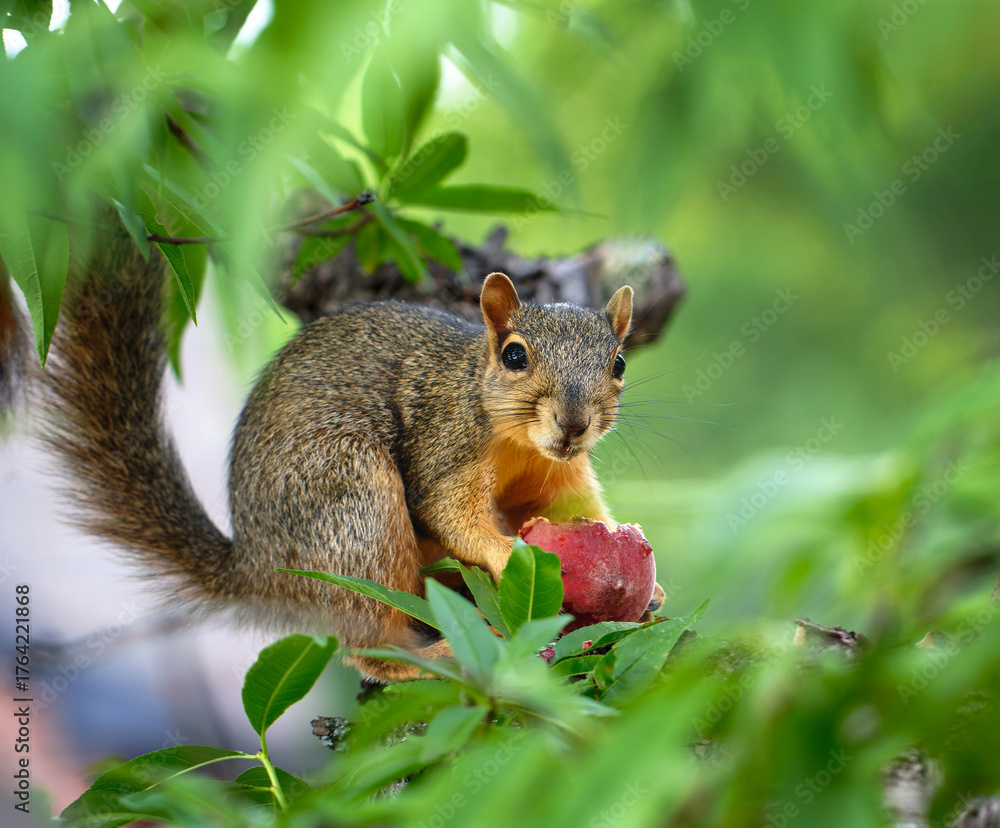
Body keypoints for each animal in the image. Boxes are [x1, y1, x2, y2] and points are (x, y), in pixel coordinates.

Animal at [6, 223, 642, 683]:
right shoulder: (444, 445)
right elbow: (448, 510)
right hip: (353, 505)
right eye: (514, 356)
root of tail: (261, 571)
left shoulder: (559, 475)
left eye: (618, 363)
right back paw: (428, 658)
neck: (520, 445)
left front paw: (643, 578)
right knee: (367, 642)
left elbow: (577, 510)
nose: (573, 426)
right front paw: (507, 552)